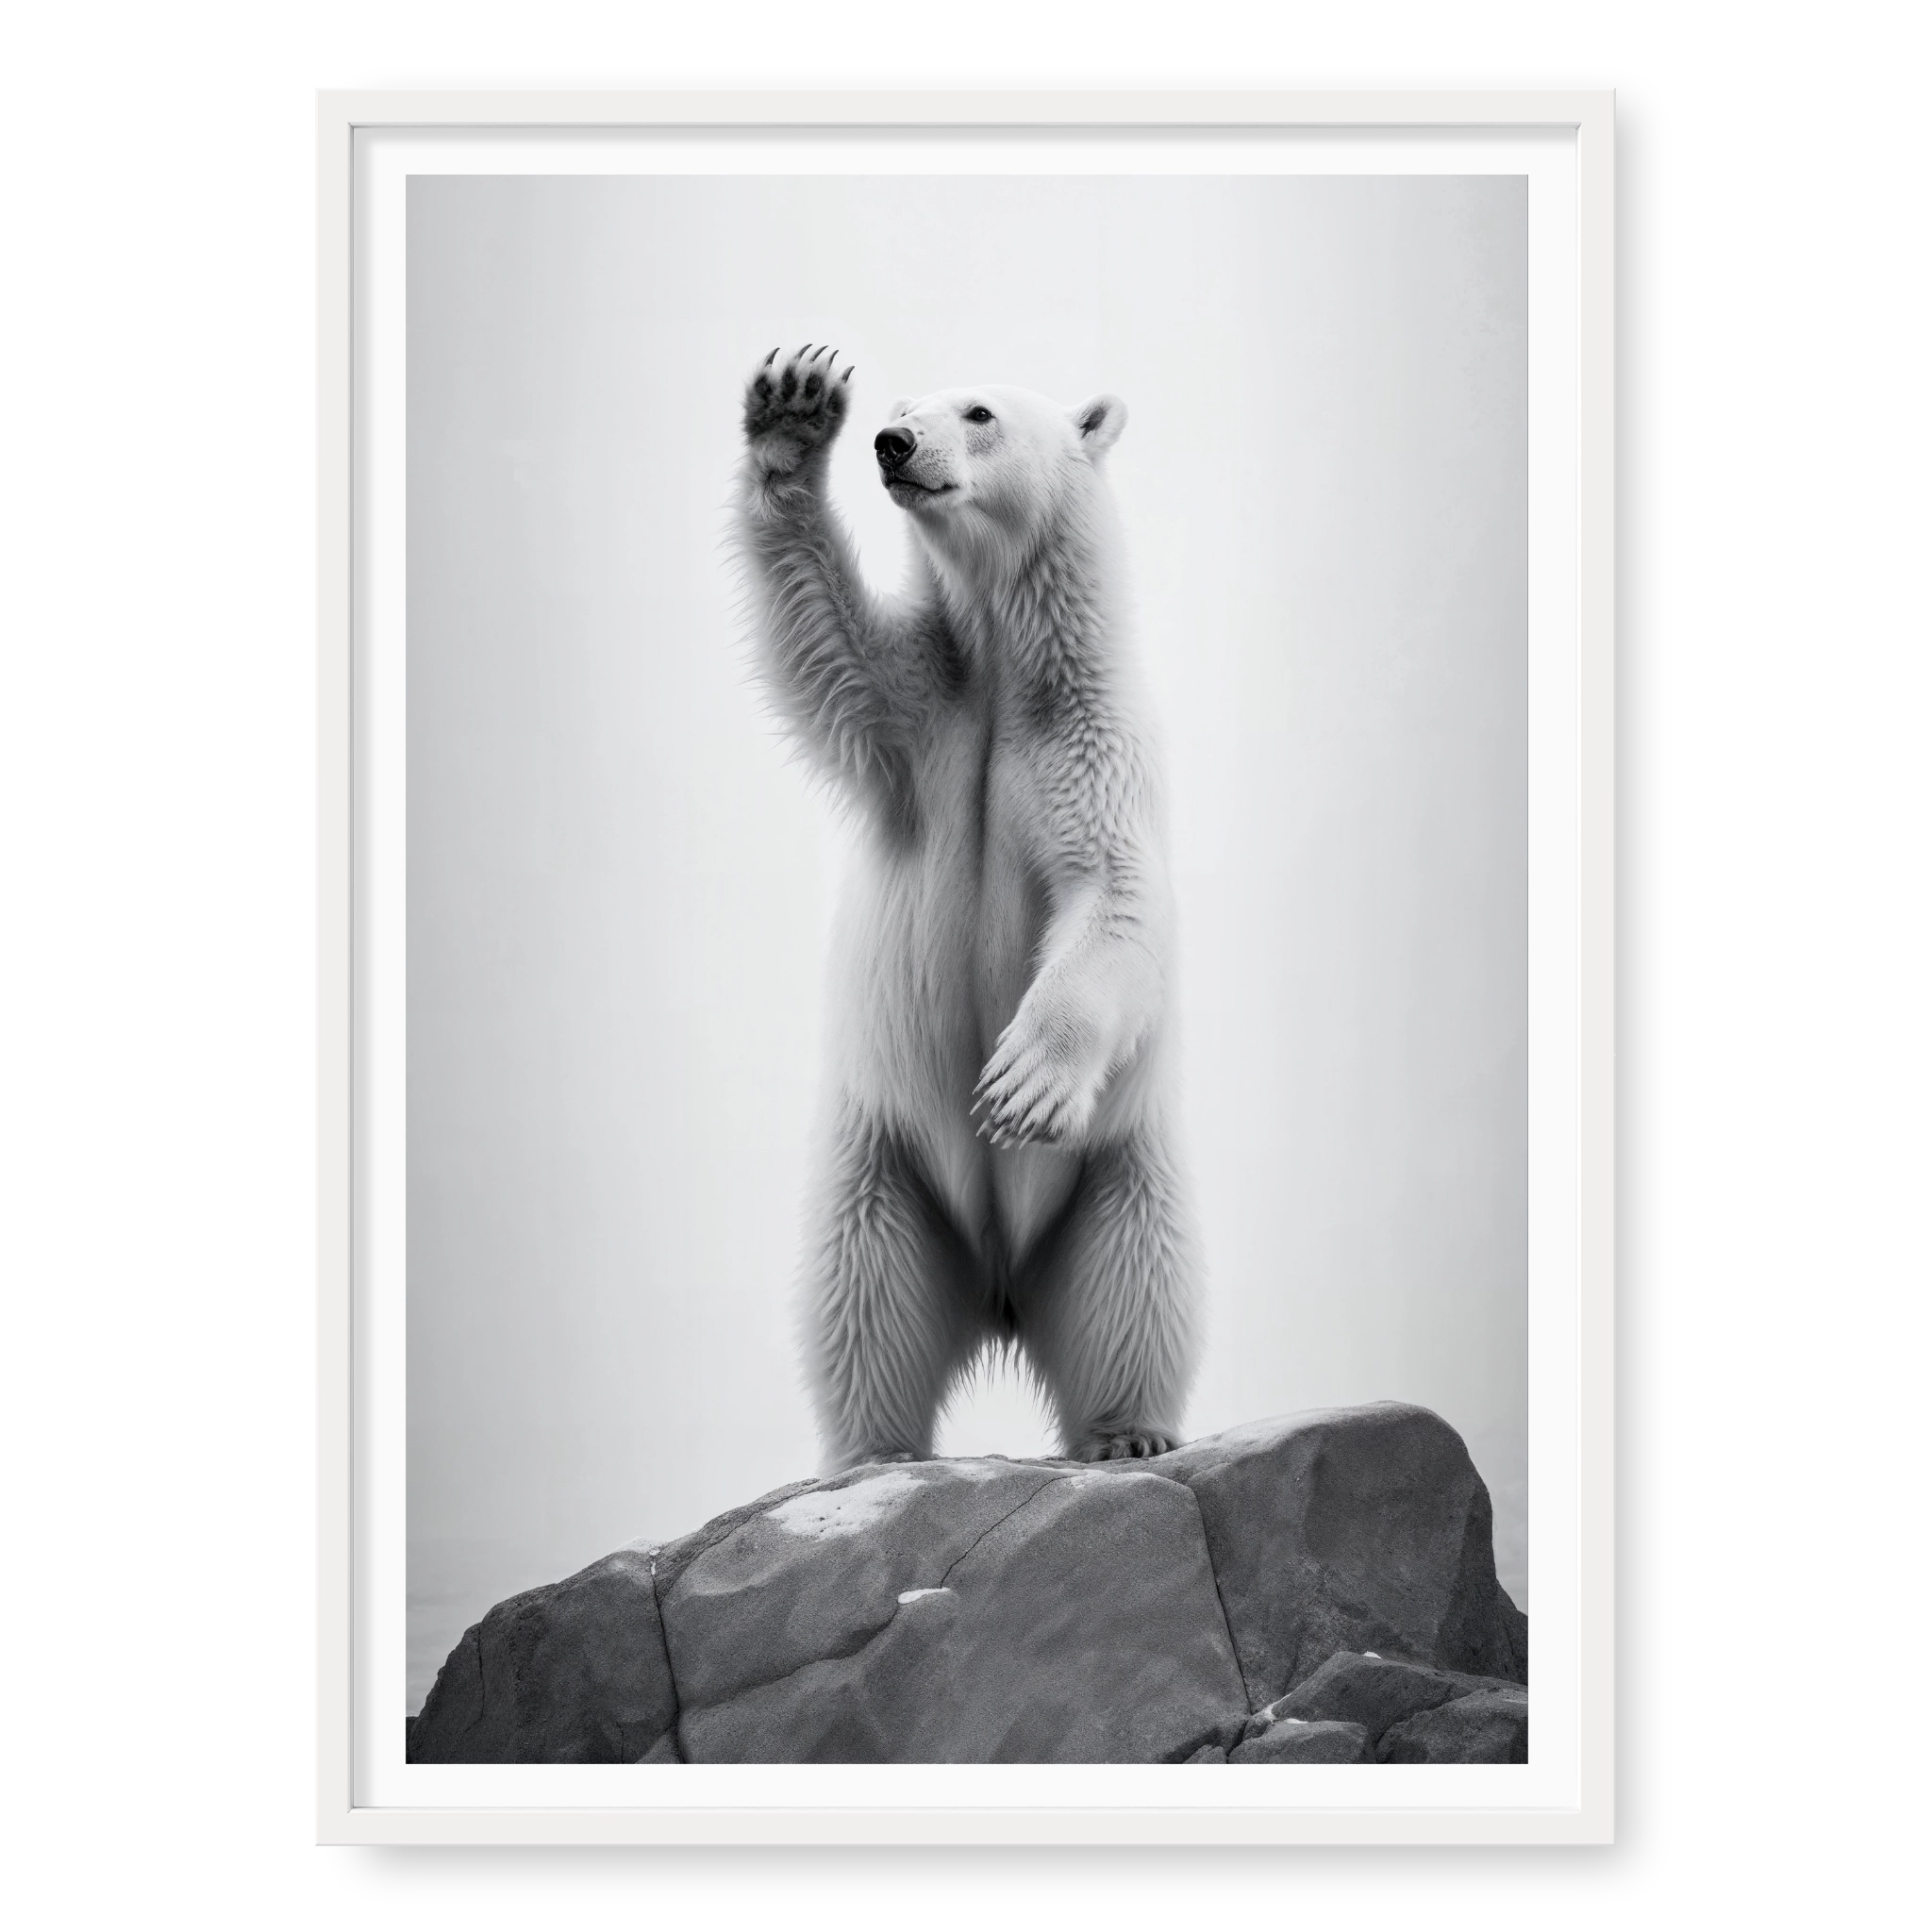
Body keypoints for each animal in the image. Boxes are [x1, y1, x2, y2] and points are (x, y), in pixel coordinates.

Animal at [732, 345, 1201, 1468]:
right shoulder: (920, 709)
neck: (1006, 664)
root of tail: (998, 1292)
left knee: (1136, 1280)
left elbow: (1113, 897)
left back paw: (1126, 1432)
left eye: (979, 412)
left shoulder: (1093, 741)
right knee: (862, 1295)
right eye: (900, 407)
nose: (892, 443)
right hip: (884, 1167)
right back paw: (873, 1450)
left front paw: (1022, 1081)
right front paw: (793, 406)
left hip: (1115, 1172)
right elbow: (825, 638)